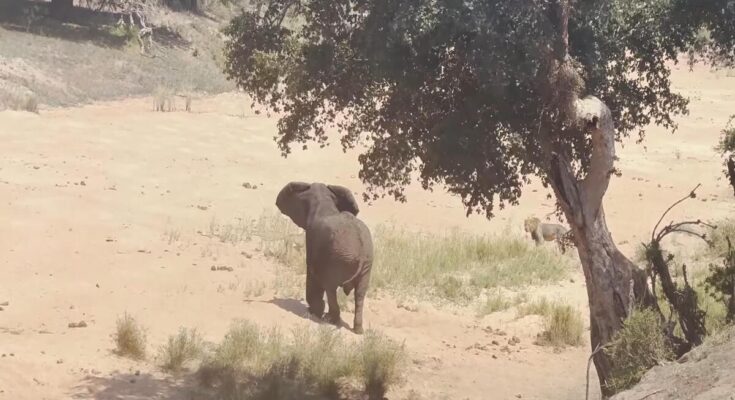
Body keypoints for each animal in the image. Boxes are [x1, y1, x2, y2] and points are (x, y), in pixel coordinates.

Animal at [275, 181, 374, 334]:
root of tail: (362, 254)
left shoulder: (312, 238)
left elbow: (311, 272)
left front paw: (313, 311)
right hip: (366, 264)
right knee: (360, 294)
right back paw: (358, 330)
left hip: (338, 259)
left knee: (330, 287)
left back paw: (331, 320)